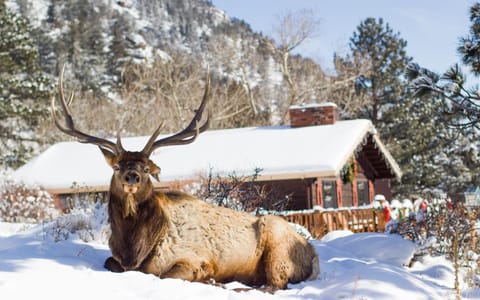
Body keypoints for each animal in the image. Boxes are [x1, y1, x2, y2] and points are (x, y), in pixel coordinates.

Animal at [50, 68, 318, 288]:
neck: (135, 247)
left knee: (275, 284)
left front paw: (210, 280)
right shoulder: (117, 258)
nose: (131, 177)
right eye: (116, 166)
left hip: (278, 248)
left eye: (146, 169)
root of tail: (312, 253)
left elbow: (166, 275)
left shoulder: (196, 258)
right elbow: (109, 263)